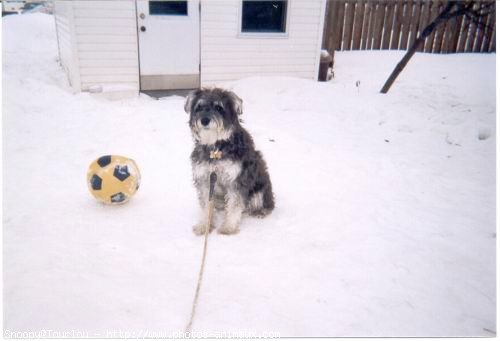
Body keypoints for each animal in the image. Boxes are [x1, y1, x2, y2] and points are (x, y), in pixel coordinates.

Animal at [186, 87, 276, 234]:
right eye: (199, 107)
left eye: (218, 107)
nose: (204, 120)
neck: (216, 149)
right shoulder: (205, 180)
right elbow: (206, 206)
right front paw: (204, 225)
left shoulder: (237, 180)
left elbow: (234, 204)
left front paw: (228, 227)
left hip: (260, 191)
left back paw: (260, 212)